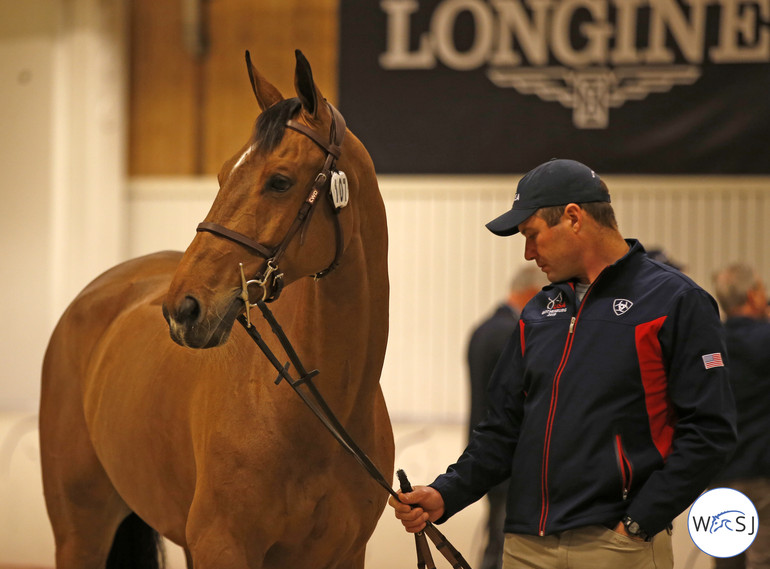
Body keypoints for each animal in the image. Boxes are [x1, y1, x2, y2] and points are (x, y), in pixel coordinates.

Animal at [39, 50, 392, 568]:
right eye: (224, 174)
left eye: (279, 181)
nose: (182, 309)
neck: (322, 416)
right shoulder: (222, 546)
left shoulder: (345, 555)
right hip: (80, 534)